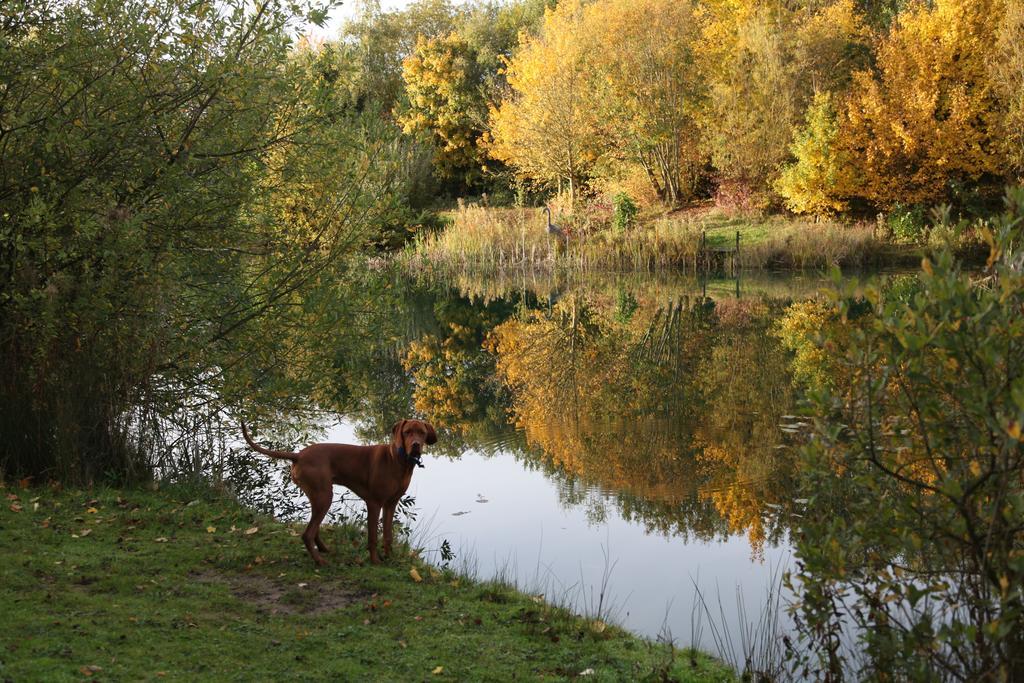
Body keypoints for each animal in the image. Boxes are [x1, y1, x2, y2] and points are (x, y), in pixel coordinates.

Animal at [242, 421, 436, 565]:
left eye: (422, 433)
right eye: (407, 432)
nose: (416, 445)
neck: (399, 460)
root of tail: (298, 455)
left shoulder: (391, 503)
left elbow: (388, 535)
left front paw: (390, 558)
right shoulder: (374, 503)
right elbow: (373, 536)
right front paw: (375, 561)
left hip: (318, 495)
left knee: (314, 528)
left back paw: (324, 550)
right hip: (324, 496)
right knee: (307, 534)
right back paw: (320, 561)